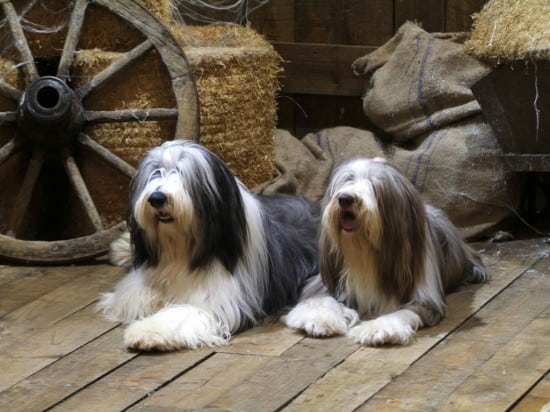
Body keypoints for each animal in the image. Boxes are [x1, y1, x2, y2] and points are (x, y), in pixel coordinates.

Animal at [284, 157, 492, 344]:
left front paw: (377, 329)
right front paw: (319, 319)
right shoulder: (326, 280)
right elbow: (319, 298)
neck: (365, 253)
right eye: (348, 179)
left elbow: (405, 311)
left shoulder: (426, 296)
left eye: (374, 185)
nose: (345, 198)